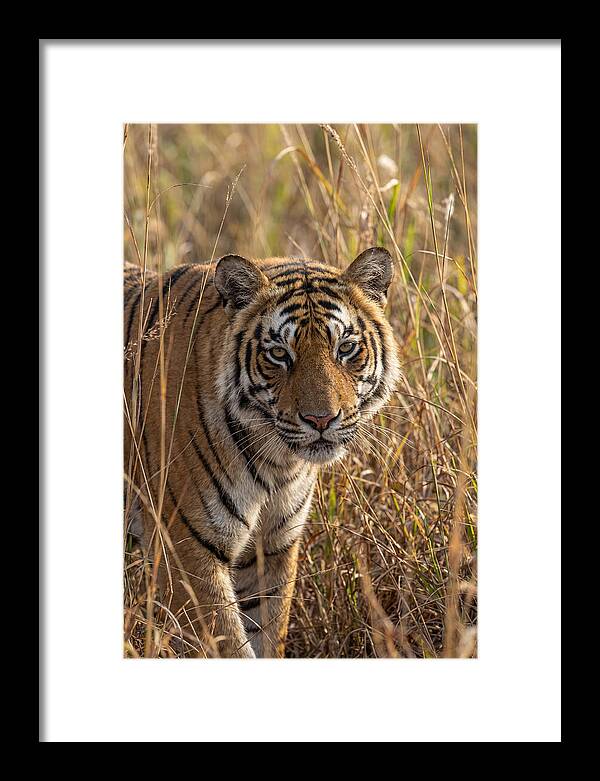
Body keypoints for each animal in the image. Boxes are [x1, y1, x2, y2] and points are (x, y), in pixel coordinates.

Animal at [124, 247, 400, 658]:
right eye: (279, 354)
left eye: (346, 348)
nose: (321, 419)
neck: (277, 463)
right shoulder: (186, 551)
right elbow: (229, 646)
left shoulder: (272, 547)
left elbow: (269, 634)